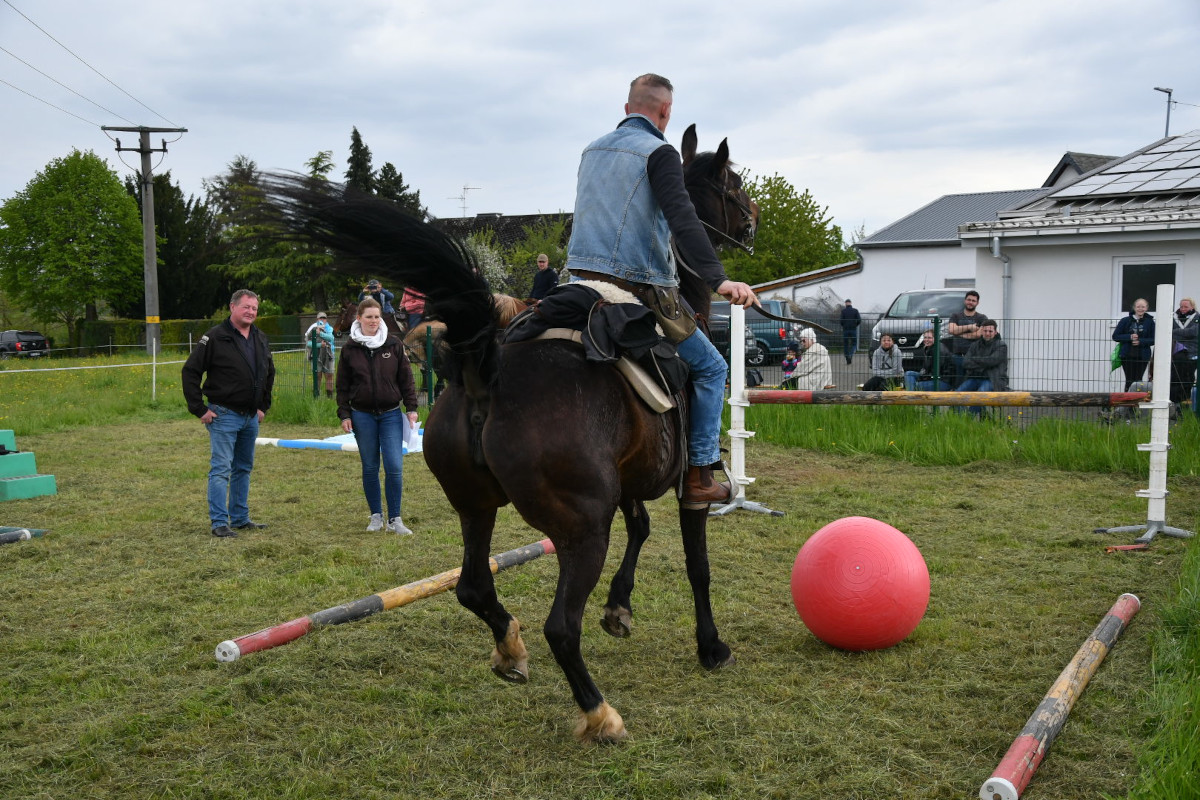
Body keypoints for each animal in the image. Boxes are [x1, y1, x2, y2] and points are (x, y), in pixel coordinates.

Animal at [265, 125, 758, 743]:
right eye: (733, 186)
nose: (753, 221)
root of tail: (488, 366)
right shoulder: (683, 488)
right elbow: (697, 567)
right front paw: (711, 646)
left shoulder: (625, 485)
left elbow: (641, 530)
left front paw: (619, 607)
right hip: (582, 529)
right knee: (560, 628)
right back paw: (599, 713)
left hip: (477, 507)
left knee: (474, 587)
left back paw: (510, 650)